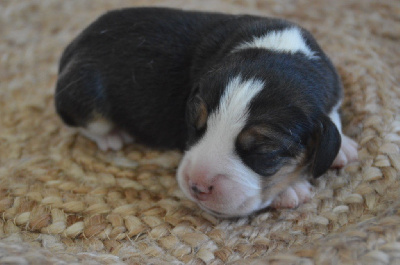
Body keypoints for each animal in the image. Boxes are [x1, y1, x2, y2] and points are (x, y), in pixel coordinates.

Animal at [54, 7, 358, 217]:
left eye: (265, 150)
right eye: (194, 123)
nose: (197, 186)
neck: (279, 50)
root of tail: (74, 44)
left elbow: (332, 117)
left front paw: (342, 147)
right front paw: (291, 189)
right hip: (85, 96)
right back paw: (112, 136)